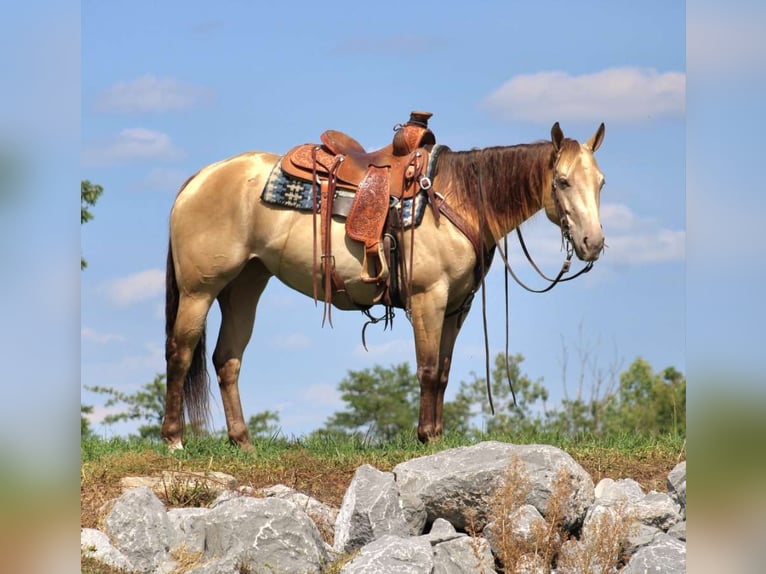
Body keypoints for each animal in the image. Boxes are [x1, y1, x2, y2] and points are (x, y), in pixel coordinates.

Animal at [162, 113, 608, 450]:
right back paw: (174, 439)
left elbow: (443, 373)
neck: (459, 199)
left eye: (601, 182)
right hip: (199, 290)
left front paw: (437, 436)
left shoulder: (457, 307)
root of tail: (199, 178)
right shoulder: (429, 298)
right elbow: (427, 369)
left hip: (245, 286)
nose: (593, 243)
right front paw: (425, 437)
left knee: (227, 359)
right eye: (563, 181)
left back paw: (243, 442)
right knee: (180, 353)